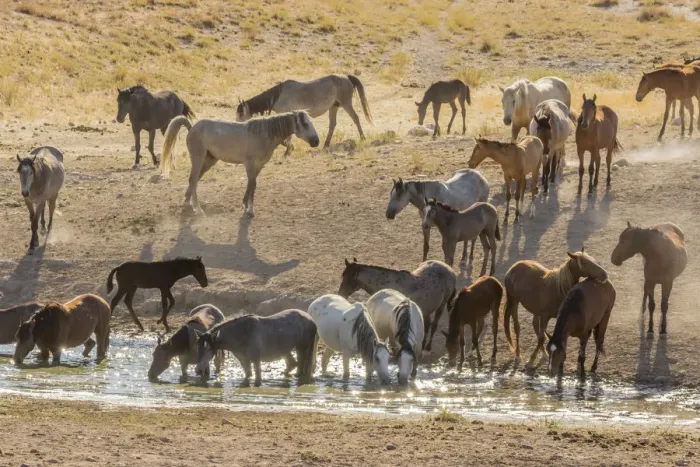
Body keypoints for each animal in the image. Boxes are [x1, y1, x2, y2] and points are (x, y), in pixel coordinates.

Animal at [161, 111, 319, 218]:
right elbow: (252, 185)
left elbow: (252, 185)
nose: (316, 141)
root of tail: (192, 127)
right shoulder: (249, 164)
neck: (263, 134)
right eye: (305, 124)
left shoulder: (259, 166)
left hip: (209, 161)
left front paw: (246, 206)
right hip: (198, 159)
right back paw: (198, 210)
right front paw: (249, 210)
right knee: (193, 180)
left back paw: (187, 204)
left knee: (194, 180)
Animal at [236, 74, 372, 152]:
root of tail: (347, 78)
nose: (237, 126)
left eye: (241, 114)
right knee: (332, 125)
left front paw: (288, 150)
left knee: (355, 118)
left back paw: (363, 138)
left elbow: (288, 135)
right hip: (334, 107)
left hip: (346, 104)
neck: (278, 96)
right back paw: (325, 145)